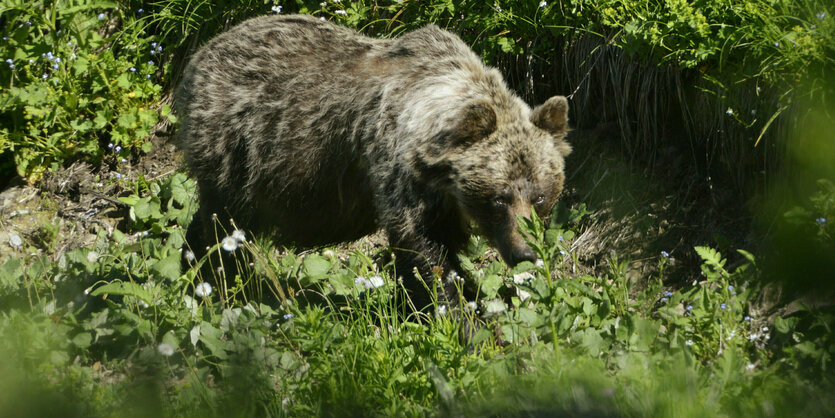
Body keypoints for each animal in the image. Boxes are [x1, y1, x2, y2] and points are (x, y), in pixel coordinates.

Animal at [173, 14, 572, 308]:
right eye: (499, 197)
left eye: (540, 196)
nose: (525, 252)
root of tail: (201, 53)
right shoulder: (399, 170)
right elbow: (425, 251)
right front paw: (458, 315)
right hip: (238, 148)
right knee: (222, 224)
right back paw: (212, 281)